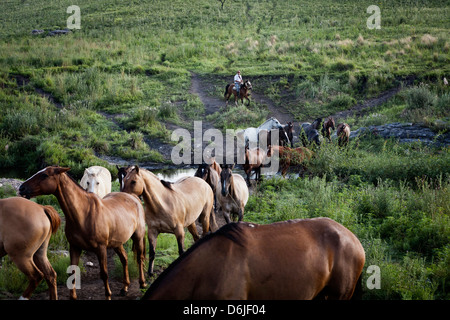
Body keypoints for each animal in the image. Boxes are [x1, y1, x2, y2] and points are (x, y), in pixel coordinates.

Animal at [19, 166, 146, 302]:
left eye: (44, 175)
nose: (22, 188)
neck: (84, 213)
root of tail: (134, 197)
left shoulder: (101, 248)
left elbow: (104, 274)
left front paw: (108, 295)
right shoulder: (75, 247)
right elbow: (73, 272)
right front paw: (73, 297)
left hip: (138, 237)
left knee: (139, 258)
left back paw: (142, 283)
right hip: (117, 242)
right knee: (124, 259)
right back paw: (125, 287)